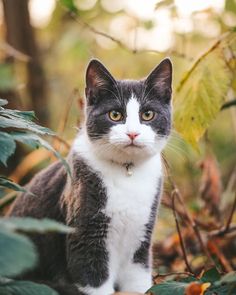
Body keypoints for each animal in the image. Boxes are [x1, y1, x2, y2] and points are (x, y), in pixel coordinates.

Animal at [8, 57, 171, 295]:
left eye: (148, 114)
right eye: (115, 115)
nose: (132, 133)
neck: (126, 171)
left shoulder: (142, 236)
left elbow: (138, 280)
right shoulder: (85, 234)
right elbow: (93, 277)